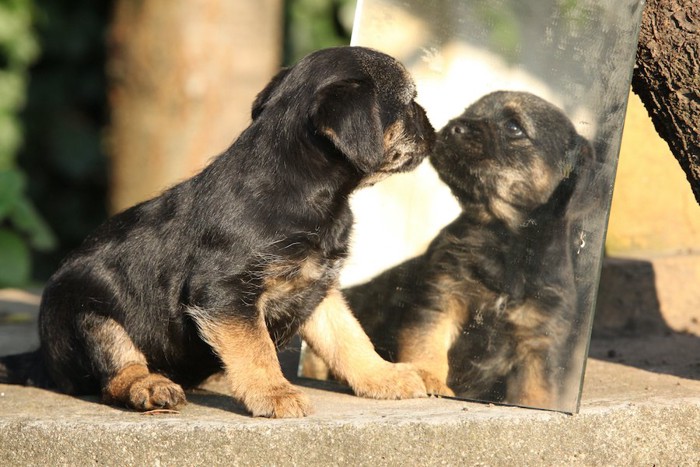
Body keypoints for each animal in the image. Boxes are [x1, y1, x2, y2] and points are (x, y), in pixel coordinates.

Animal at [0, 46, 434, 420]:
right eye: (410, 102)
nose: (431, 124)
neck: (301, 186)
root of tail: (41, 356)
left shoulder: (318, 288)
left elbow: (349, 339)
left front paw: (384, 376)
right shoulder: (225, 293)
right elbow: (256, 349)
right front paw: (274, 392)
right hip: (89, 315)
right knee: (116, 373)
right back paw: (149, 387)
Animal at [300, 90, 596, 410]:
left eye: (514, 127)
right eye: (470, 112)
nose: (455, 127)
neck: (504, 244)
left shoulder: (539, 345)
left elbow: (536, 392)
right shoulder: (439, 303)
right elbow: (427, 349)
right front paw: (430, 379)